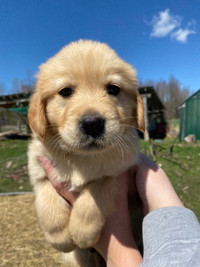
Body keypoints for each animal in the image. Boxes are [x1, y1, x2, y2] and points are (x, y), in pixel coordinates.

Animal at [27, 39, 144, 266]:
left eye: (113, 89)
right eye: (65, 91)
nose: (92, 124)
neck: (81, 158)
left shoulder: (121, 173)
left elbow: (97, 190)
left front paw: (81, 231)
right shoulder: (39, 168)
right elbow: (47, 201)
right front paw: (60, 238)